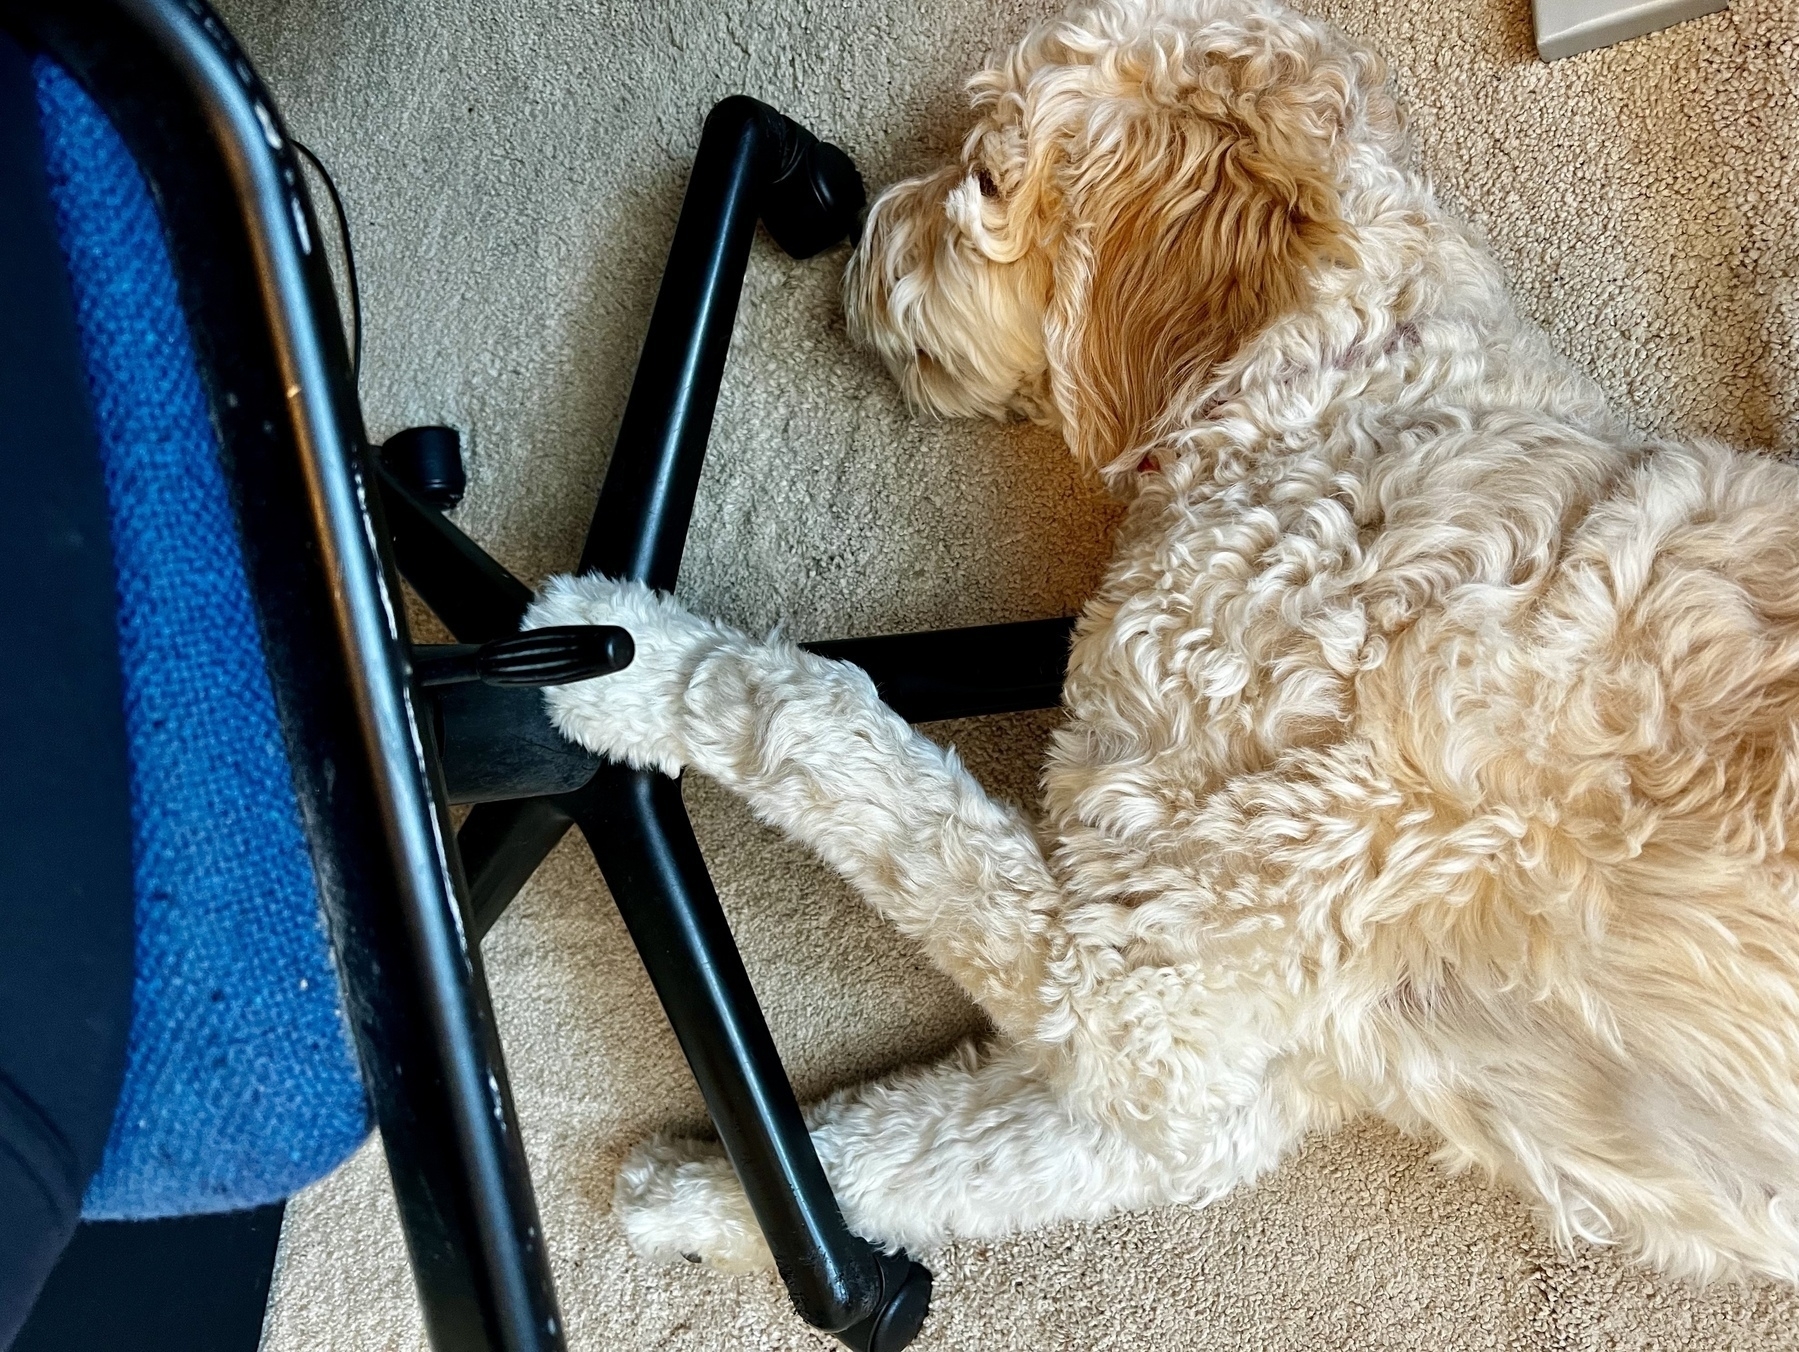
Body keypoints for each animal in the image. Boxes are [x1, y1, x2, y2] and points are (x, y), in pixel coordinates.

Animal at [532, 0, 1799, 1287]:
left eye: (982, 176)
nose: (854, 234)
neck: (1328, 394)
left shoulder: (1138, 977)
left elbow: (814, 718)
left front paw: (619, 652)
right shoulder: (1204, 1077)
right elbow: (925, 1150)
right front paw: (712, 1195)